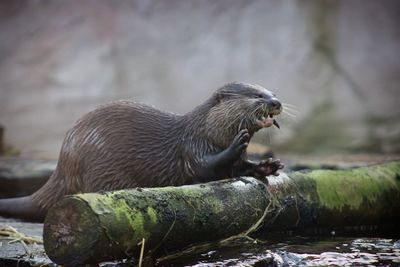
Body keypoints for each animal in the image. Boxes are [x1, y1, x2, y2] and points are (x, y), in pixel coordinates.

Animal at [0, 82, 282, 222]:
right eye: (258, 95)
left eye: (272, 92)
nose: (276, 102)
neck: (208, 130)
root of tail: (63, 164)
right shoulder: (193, 146)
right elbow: (205, 168)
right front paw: (239, 141)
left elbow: (240, 168)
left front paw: (269, 165)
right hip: (101, 169)